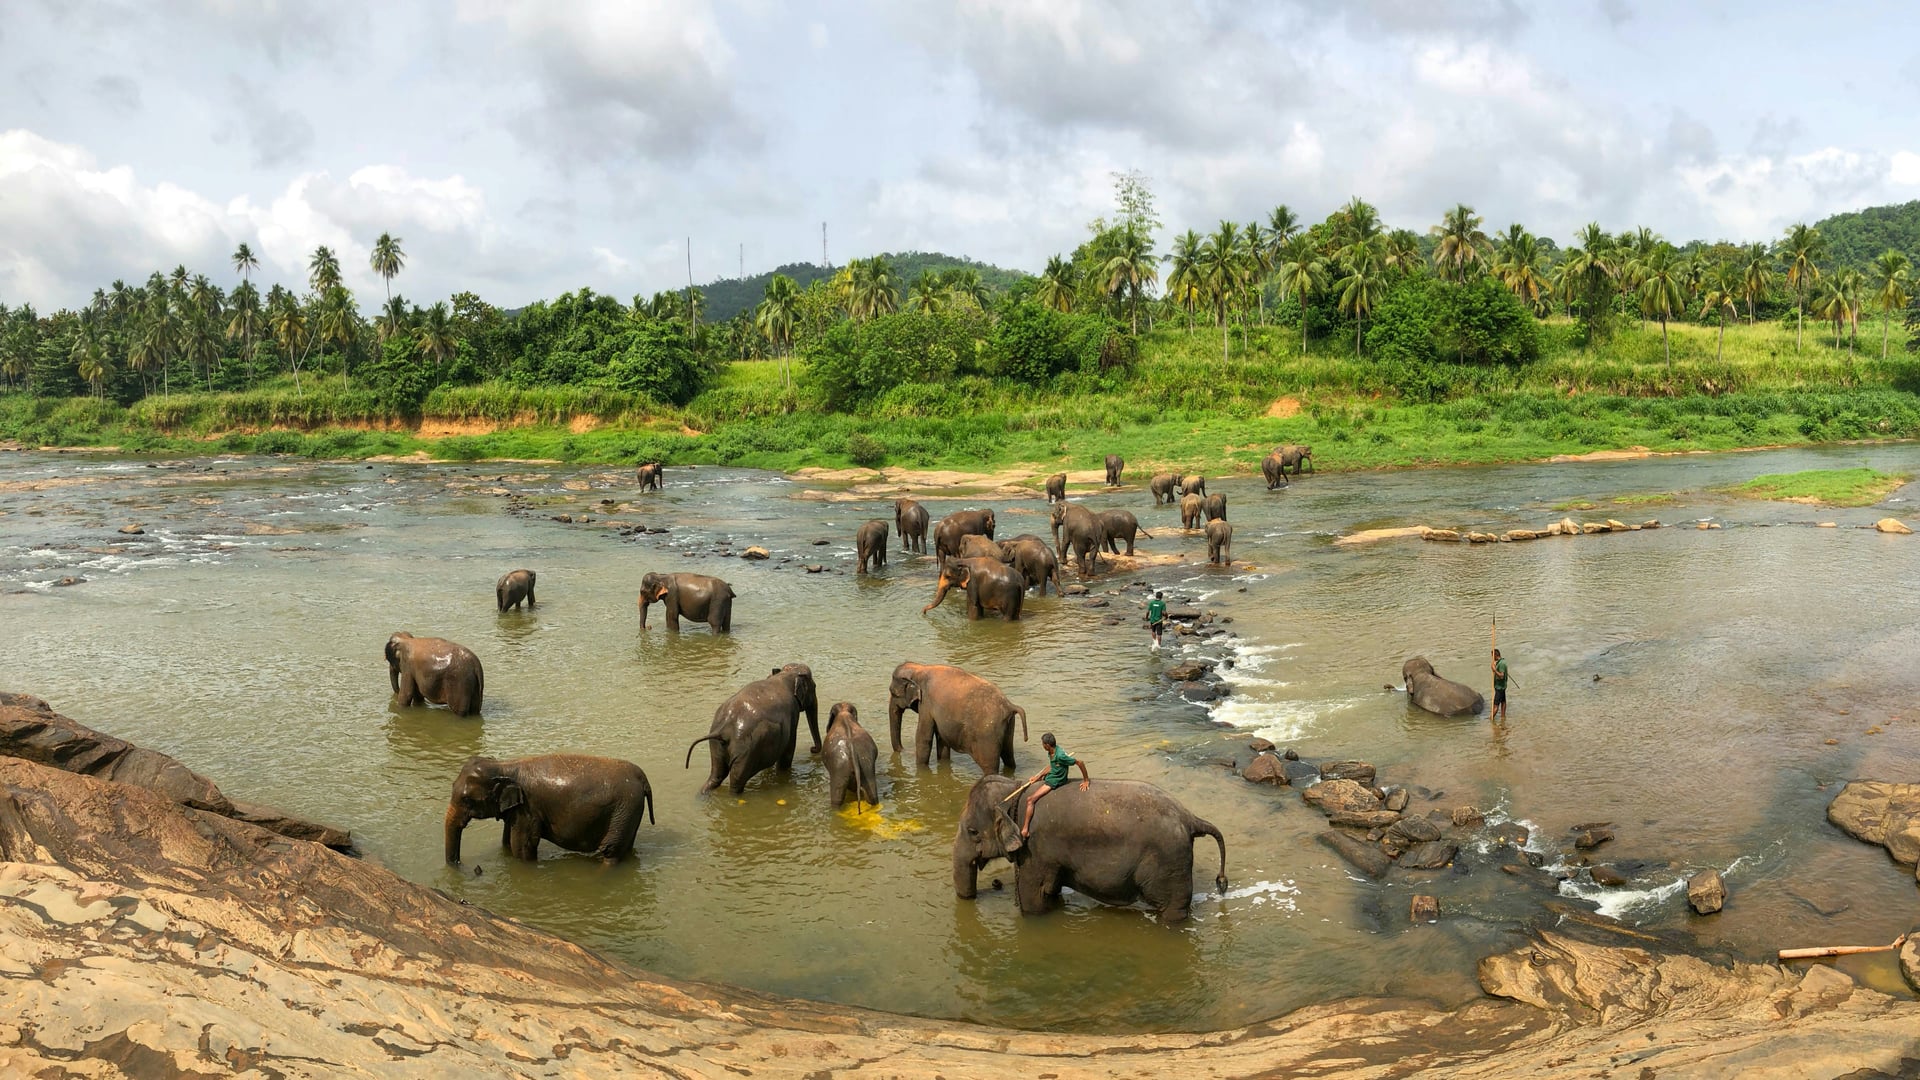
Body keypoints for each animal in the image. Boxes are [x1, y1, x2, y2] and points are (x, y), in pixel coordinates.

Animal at [444, 754, 653, 864]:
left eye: (467, 800)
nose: (459, 863)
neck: (504, 766)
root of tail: (642, 776)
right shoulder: (517, 811)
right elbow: (507, 842)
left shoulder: (528, 810)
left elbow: (522, 848)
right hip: (629, 813)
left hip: (623, 810)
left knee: (611, 852)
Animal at [685, 664, 822, 794]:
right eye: (815, 686)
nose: (812, 749)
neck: (786, 673)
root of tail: (723, 729)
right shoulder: (793, 713)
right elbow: (788, 749)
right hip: (746, 751)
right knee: (736, 781)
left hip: (717, 746)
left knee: (716, 775)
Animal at [887, 661, 1027, 772]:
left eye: (893, 693)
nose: (905, 751)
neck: (919, 668)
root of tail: (1010, 705)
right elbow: (941, 739)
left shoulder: (926, 703)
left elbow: (923, 737)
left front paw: (921, 769)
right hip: (1008, 727)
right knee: (1009, 758)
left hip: (987, 735)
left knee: (990, 767)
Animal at [952, 774, 1227, 924]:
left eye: (972, 832)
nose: (993, 886)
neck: (1015, 788)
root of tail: (1190, 818)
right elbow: (1049, 892)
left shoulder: (1035, 849)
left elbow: (1034, 897)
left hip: (1169, 863)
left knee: (1172, 909)